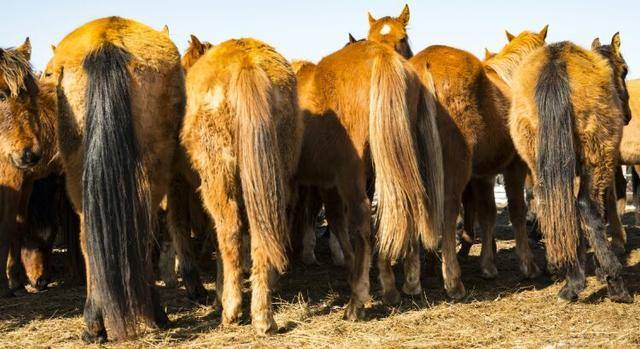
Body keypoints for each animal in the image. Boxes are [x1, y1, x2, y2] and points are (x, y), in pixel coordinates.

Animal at [179, 36, 304, 334]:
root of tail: (246, 64)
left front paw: (219, 296)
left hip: (219, 179)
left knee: (229, 231)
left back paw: (232, 310)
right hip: (273, 177)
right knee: (262, 233)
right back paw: (263, 316)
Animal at [292, 37, 442, 312]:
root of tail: (381, 56)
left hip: (352, 176)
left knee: (362, 219)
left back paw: (357, 301)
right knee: (403, 206)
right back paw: (403, 285)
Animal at [370, 4, 544, 300]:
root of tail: (424, 65)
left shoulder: (483, 175)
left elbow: (488, 213)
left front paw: (488, 265)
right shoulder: (514, 167)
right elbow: (517, 210)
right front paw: (527, 264)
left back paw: (412, 281)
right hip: (454, 168)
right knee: (448, 212)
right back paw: (452, 281)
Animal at [508, 34, 632, 302]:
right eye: (625, 69)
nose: (627, 115)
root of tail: (556, 64)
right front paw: (602, 271)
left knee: (554, 205)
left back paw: (572, 280)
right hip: (597, 159)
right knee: (587, 205)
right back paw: (615, 283)